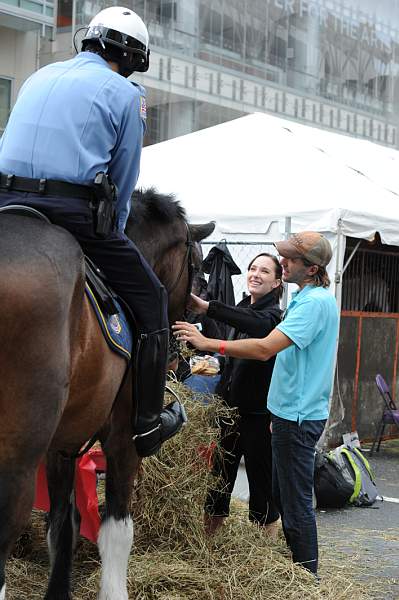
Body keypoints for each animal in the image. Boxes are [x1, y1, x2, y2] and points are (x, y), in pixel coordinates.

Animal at [0, 190, 216, 600]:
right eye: (197, 266)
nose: (179, 354)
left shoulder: (62, 446)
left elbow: (62, 526)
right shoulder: (122, 440)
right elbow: (116, 531)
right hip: (16, 462)